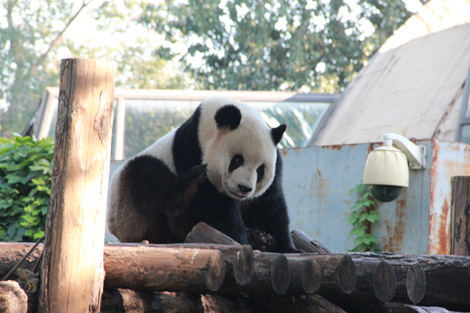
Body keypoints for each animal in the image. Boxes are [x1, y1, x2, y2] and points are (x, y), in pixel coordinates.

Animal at [107, 96, 298, 252]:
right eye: (237, 160)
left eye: (260, 169)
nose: (244, 188)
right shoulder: (191, 149)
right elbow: (213, 206)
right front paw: (241, 240)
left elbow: (270, 206)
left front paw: (285, 246)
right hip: (129, 204)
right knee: (150, 179)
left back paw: (260, 237)